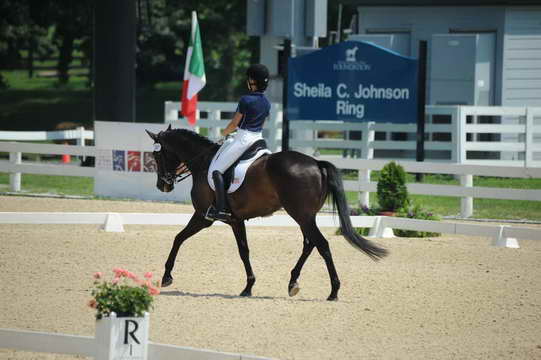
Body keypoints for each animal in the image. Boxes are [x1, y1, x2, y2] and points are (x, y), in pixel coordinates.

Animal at [146, 125, 386, 300]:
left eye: (157, 156)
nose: (162, 185)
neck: (203, 163)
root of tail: (317, 163)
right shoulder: (236, 221)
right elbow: (244, 251)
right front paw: (248, 287)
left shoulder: (203, 217)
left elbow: (178, 238)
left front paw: (166, 276)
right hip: (305, 217)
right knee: (309, 245)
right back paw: (293, 283)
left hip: (302, 216)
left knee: (322, 245)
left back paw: (334, 291)